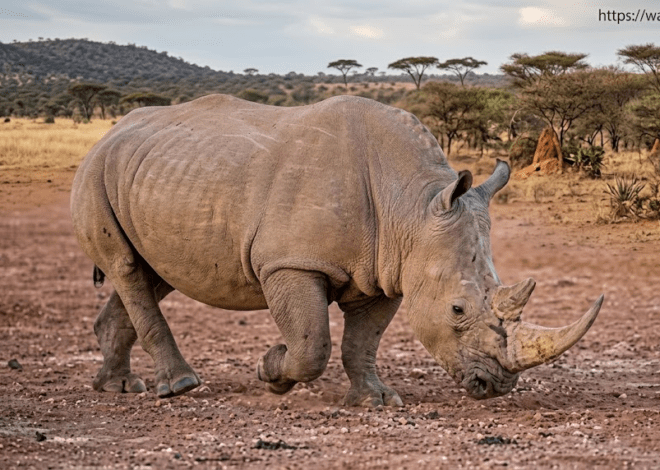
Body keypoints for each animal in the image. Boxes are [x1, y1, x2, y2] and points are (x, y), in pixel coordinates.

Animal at [71, 94, 603, 406]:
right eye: (457, 309)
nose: (495, 387)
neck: (412, 205)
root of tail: (111, 130)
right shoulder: (290, 262)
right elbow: (313, 344)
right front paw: (271, 369)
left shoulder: (389, 270)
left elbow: (361, 343)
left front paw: (377, 399)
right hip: (96, 171)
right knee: (127, 268)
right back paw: (179, 387)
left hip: (159, 174)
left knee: (151, 273)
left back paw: (119, 386)